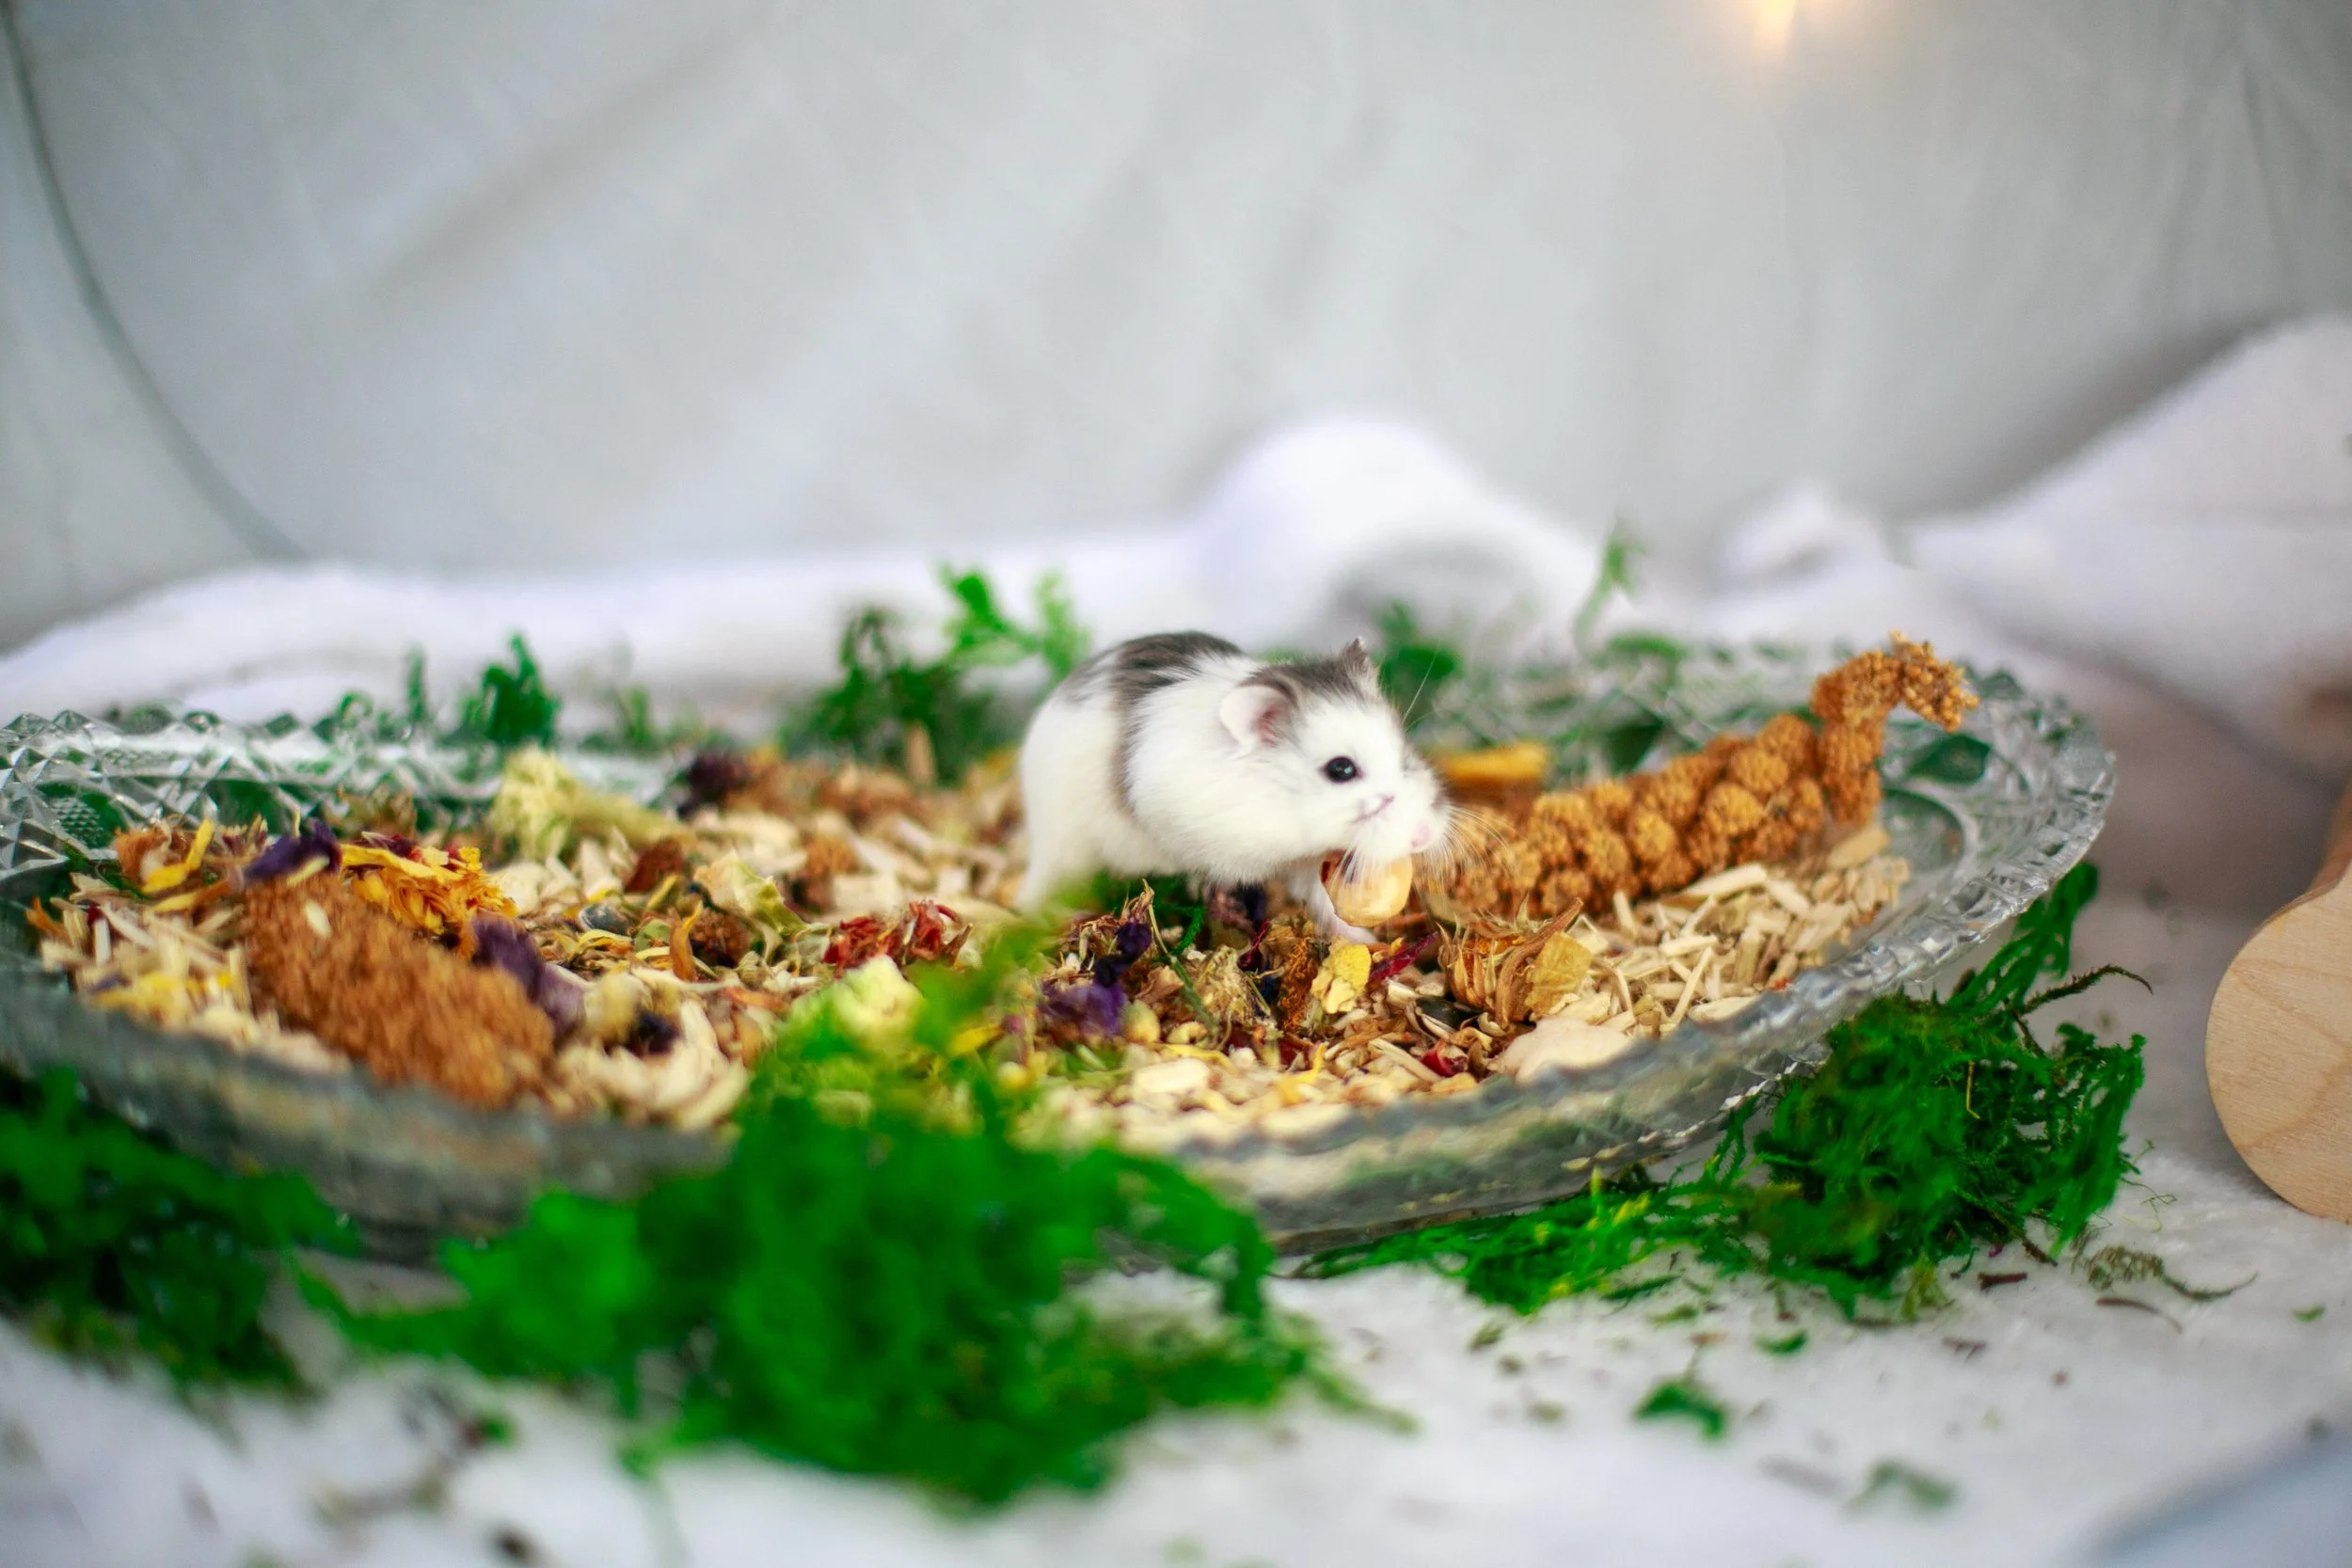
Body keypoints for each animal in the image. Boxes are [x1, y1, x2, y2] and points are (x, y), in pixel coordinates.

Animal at [1017, 632, 1451, 942]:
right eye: (1340, 769)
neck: (1283, 808)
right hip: (1067, 846)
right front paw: (1223, 904)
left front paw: (1366, 941)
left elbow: (1323, 903)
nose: (1423, 836)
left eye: (1404, 752)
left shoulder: (1301, 861)